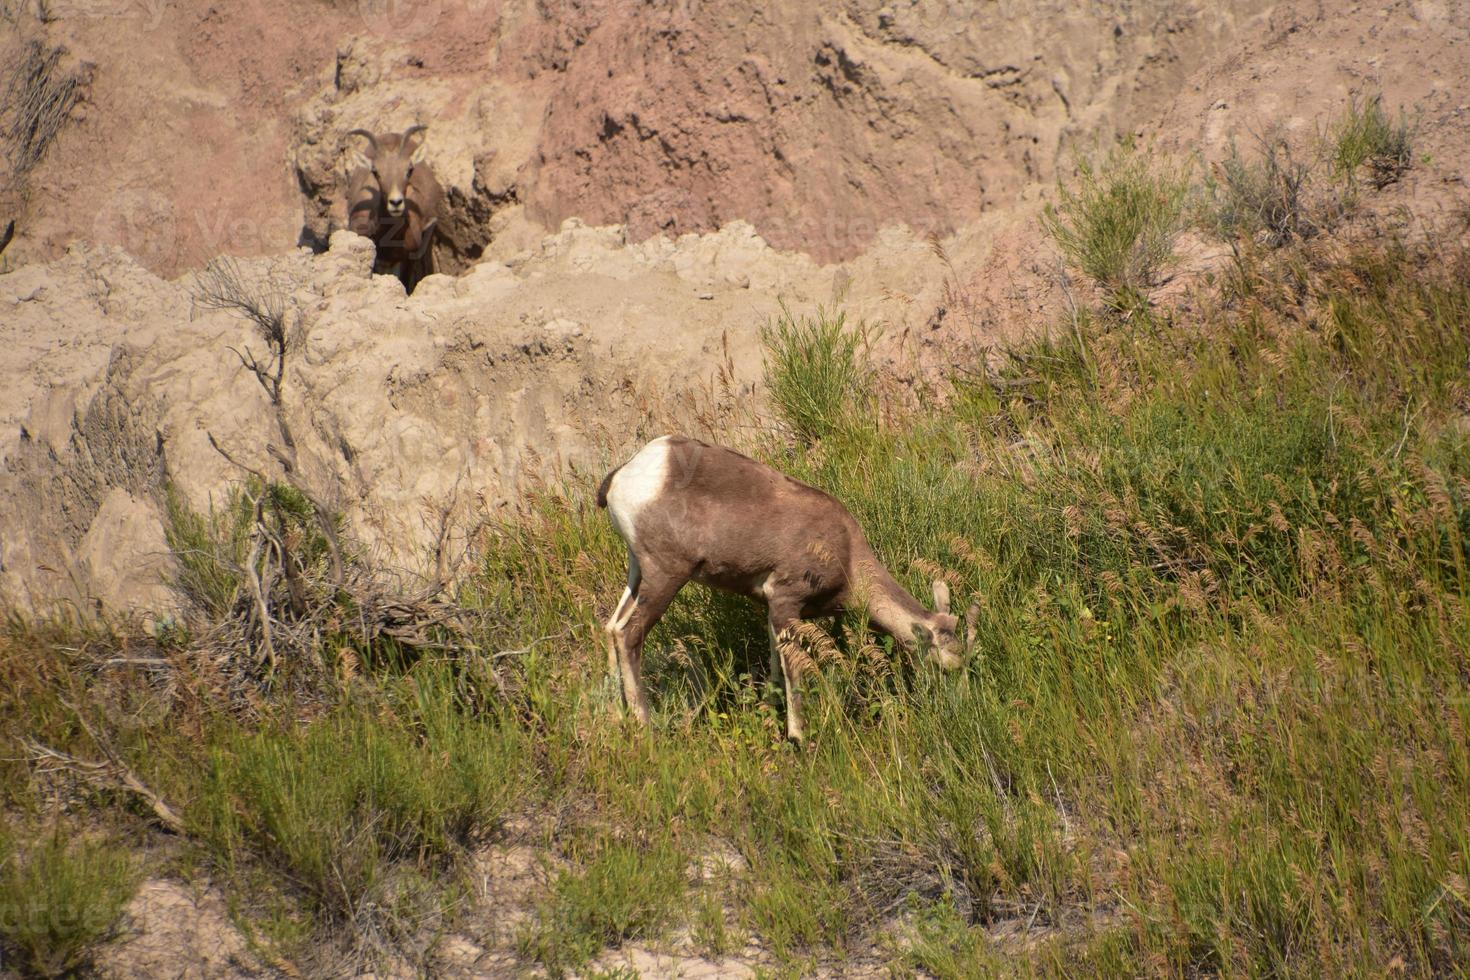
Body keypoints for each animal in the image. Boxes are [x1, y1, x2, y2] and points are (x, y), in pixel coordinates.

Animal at [590, 431, 970, 740]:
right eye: (943, 665)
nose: (955, 705)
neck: (846, 550)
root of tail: (626, 474)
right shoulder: (785, 602)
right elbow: (793, 668)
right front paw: (798, 736)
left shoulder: (772, 611)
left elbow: (775, 666)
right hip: (666, 576)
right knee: (629, 634)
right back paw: (645, 725)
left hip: (638, 574)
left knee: (612, 627)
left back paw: (616, 716)